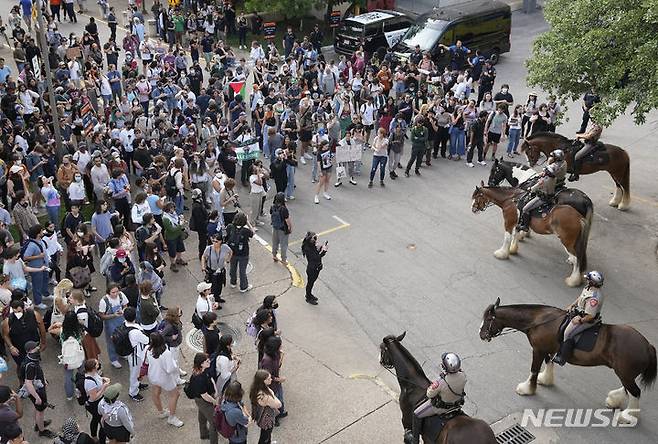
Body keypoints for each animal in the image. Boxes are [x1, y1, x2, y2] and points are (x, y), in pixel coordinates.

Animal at [480, 298, 652, 424]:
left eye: (488, 319)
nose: (481, 334)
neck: (539, 320)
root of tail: (648, 346)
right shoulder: (546, 349)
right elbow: (548, 362)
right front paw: (546, 379)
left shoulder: (538, 350)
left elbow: (534, 369)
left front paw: (527, 388)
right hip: (624, 373)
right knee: (627, 389)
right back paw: (614, 400)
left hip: (625, 373)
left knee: (635, 392)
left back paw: (627, 416)